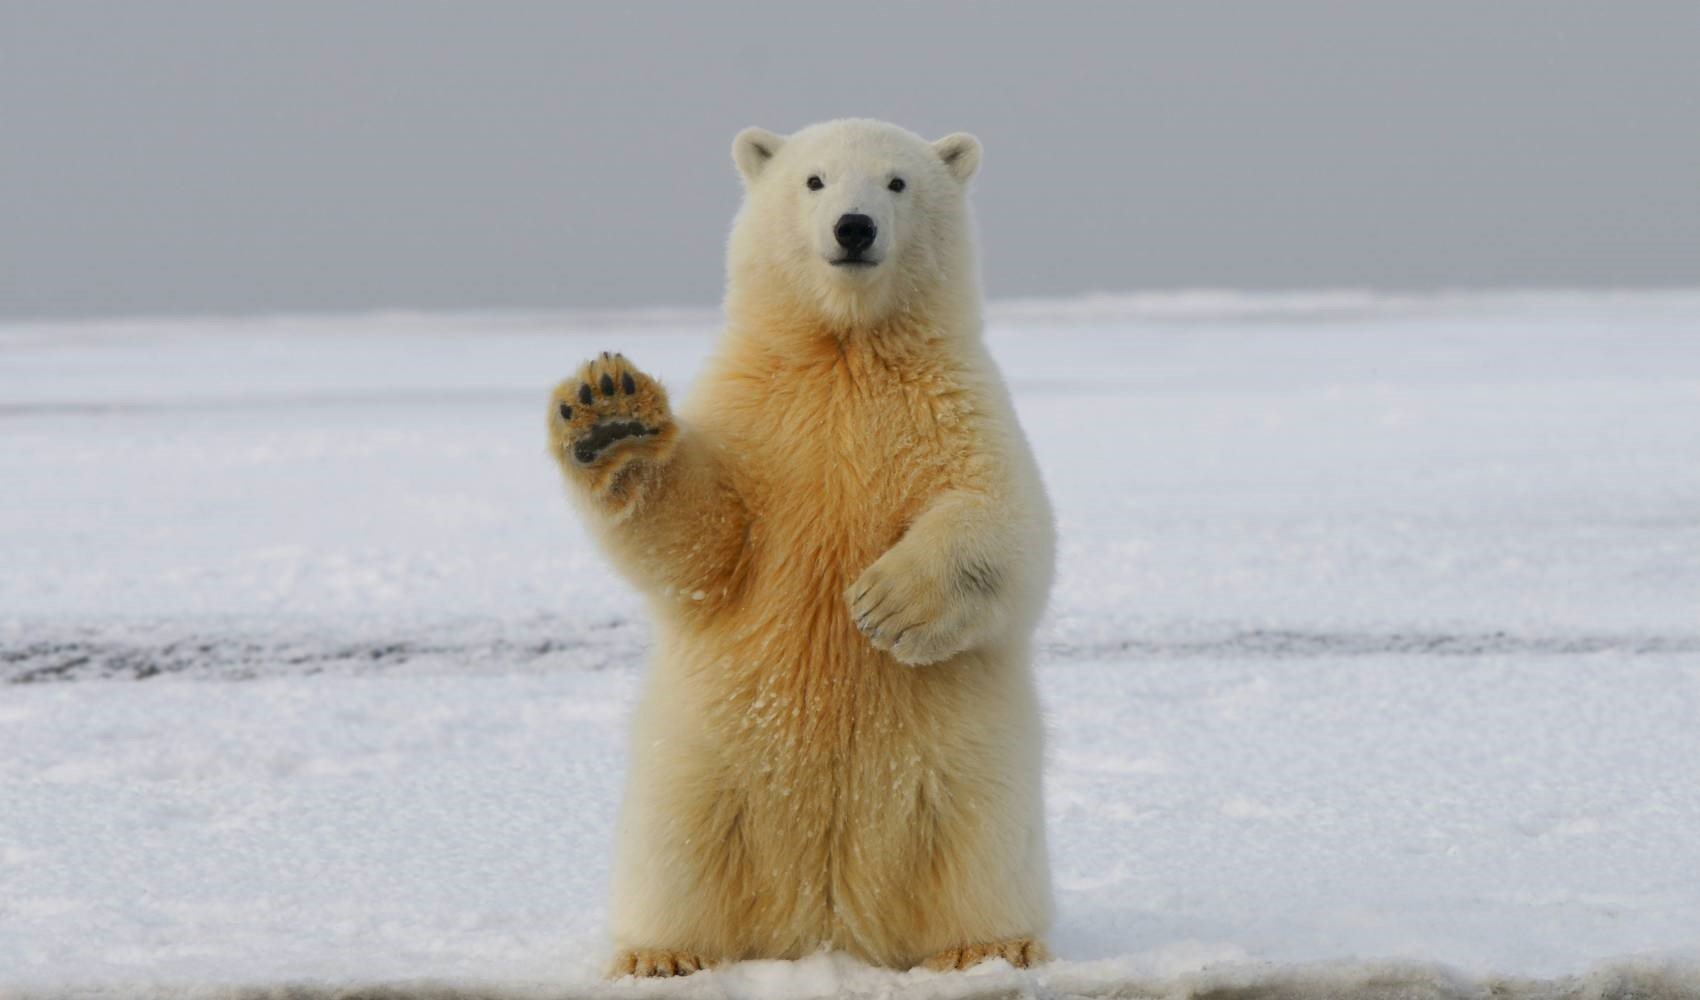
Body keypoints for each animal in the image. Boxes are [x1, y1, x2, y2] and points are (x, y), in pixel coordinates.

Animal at [544, 119, 1047, 979]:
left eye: (897, 182)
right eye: (814, 181)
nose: (855, 228)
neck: (845, 350)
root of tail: (826, 922)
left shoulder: (956, 406)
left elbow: (1006, 521)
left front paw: (886, 604)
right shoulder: (759, 417)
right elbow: (706, 542)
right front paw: (610, 413)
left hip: (967, 770)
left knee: (978, 848)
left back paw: (989, 946)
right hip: (701, 766)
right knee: (677, 852)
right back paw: (660, 955)